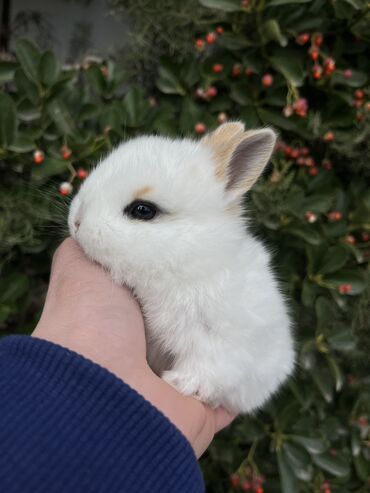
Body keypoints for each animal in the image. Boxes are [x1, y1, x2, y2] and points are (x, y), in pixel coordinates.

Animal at [68, 122, 294, 412]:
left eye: (143, 210)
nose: (77, 221)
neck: (185, 260)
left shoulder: (225, 340)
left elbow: (212, 366)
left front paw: (181, 383)